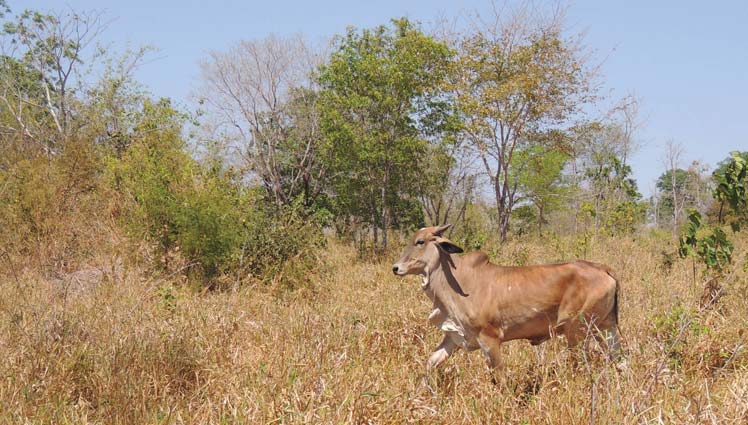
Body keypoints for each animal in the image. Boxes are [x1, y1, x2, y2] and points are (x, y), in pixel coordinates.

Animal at [392, 224, 620, 370]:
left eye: (420, 241)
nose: (396, 268)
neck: (456, 281)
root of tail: (603, 269)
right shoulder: (453, 337)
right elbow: (430, 362)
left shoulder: (490, 339)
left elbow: (499, 376)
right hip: (607, 328)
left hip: (576, 331)